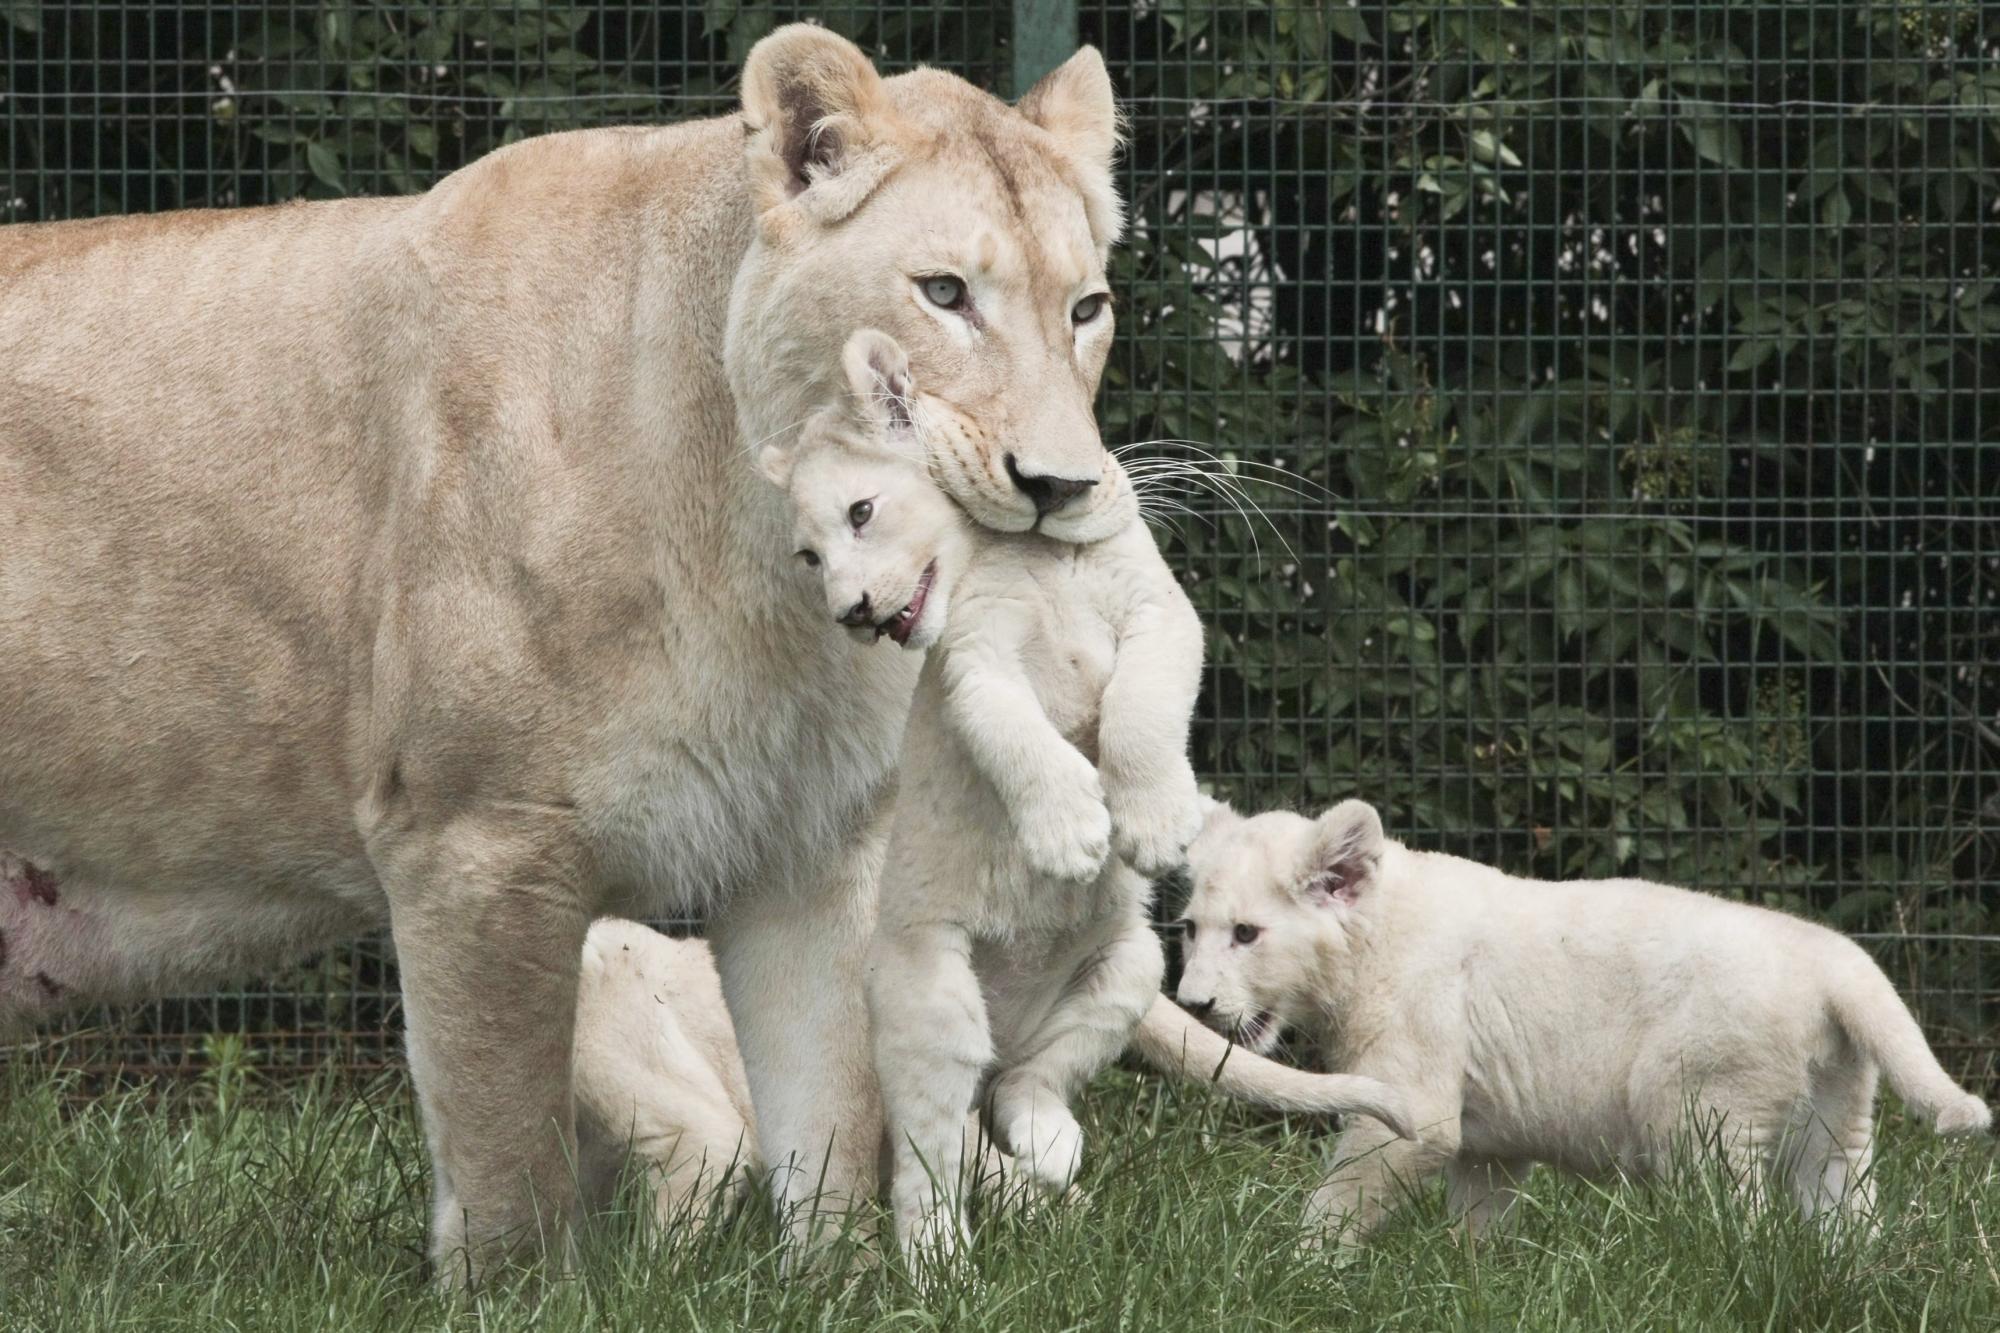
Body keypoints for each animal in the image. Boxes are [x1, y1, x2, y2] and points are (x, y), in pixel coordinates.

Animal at [0, 25, 1134, 1278]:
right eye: (943, 294)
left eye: (1086, 307)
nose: (1061, 486)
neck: (766, 562)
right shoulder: (477, 841)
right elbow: (508, 1154)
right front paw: (515, 1289)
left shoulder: (817, 839)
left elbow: (831, 1113)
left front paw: (832, 1282)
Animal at [1177, 798, 1992, 1250]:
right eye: (1189, 929)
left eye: (1246, 933)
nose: (1192, 1004)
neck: (1370, 938)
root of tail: (1835, 960)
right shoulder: (1490, 1142)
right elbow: (1479, 1226)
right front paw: (1477, 1280)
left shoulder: (1415, 1110)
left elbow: (1337, 1200)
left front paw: (1299, 1266)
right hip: (1834, 1122)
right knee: (1845, 1218)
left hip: (1703, 1117)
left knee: (1748, 1224)